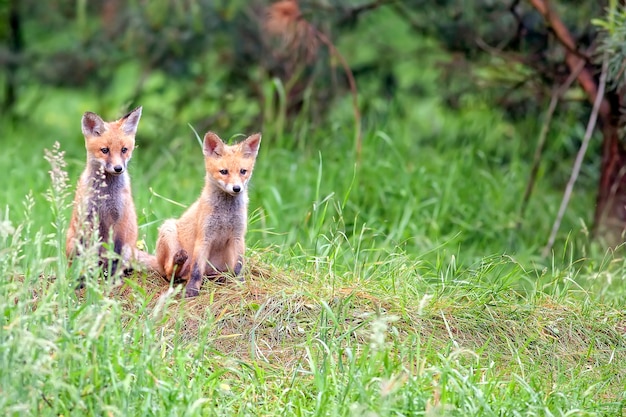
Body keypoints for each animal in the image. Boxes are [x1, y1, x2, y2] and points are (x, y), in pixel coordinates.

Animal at [65, 106, 156, 272]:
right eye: (105, 150)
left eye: (124, 150)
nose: (118, 168)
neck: (106, 193)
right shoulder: (89, 218)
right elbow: (90, 251)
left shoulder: (120, 218)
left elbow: (115, 252)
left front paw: (112, 275)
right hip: (73, 241)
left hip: (129, 247)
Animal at [157, 130, 262, 296]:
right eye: (224, 172)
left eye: (243, 171)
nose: (237, 188)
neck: (225, 213)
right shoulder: (204, 237)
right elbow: (196, 270)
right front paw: (192, 290)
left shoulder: (238, 236)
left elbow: (239, 267)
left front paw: (240, 286)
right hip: (168, 229)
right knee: (171, 273)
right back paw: (179, 263)